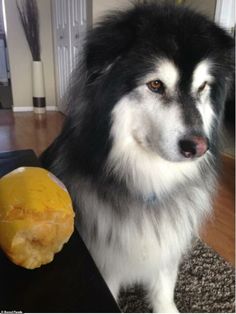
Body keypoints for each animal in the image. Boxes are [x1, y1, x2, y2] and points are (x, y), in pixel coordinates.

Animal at [41, 3, 234, 312]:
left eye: (203, 87)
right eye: (155, 85)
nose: (199, 147)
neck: (149, 182)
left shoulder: (165, 252)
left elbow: (164, 293)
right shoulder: (104, 267)